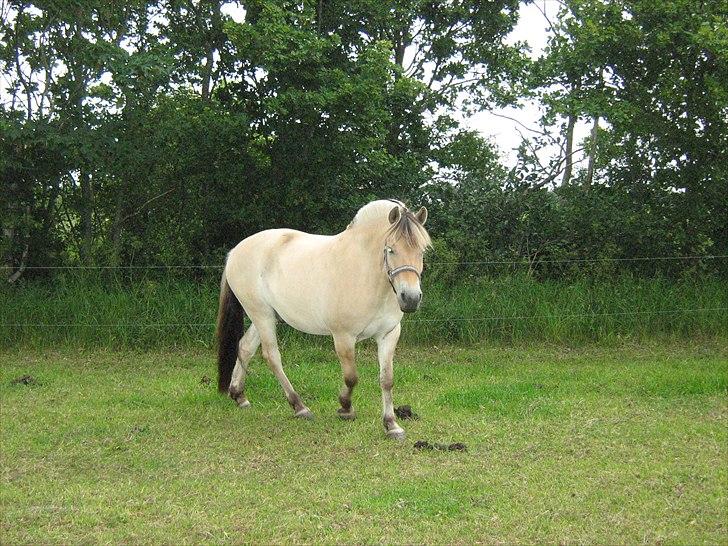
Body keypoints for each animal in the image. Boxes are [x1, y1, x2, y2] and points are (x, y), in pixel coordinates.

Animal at [216, 199, 432, 438]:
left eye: (422, 250)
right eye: (391, 249)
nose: (410, 298)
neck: (365, 272)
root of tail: (235, 251)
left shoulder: (388, 335)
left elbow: (386, 379)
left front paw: (392, 424)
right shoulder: (343, 337)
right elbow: (351, 377)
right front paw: (346, 408)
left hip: (267, 316)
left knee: (245, 347)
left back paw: (239, 396)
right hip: (261, 315)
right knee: (271, 356)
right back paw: (299, 407)